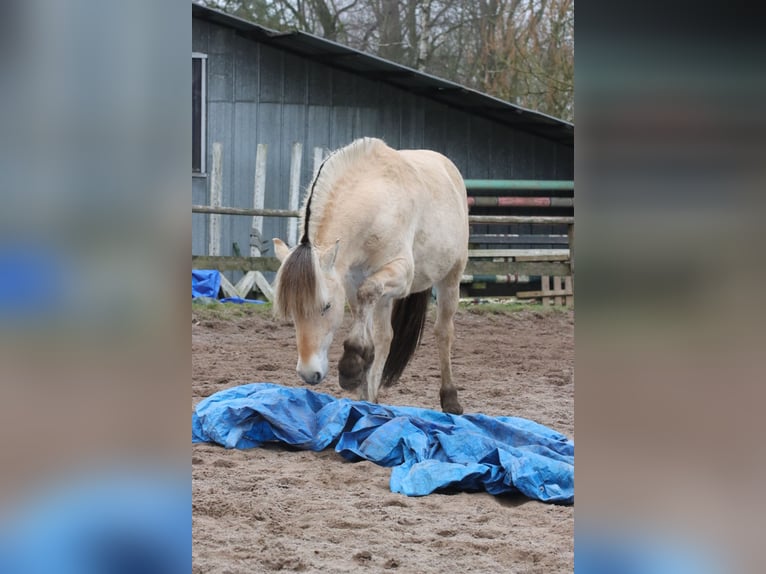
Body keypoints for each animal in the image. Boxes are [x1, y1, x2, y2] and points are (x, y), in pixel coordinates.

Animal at [272, 137, 472, 416]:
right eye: (292, 311)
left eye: (326, 306)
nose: (309, 374)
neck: (375, 202)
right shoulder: (351, 279)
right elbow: (370, 323)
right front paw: (361, 375)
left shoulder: (401, 274)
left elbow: (367, 295)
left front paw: (351, 365)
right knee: (385, 336)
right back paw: (371, 399)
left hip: (450, 278)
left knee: (443, 332)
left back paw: (450, 400)